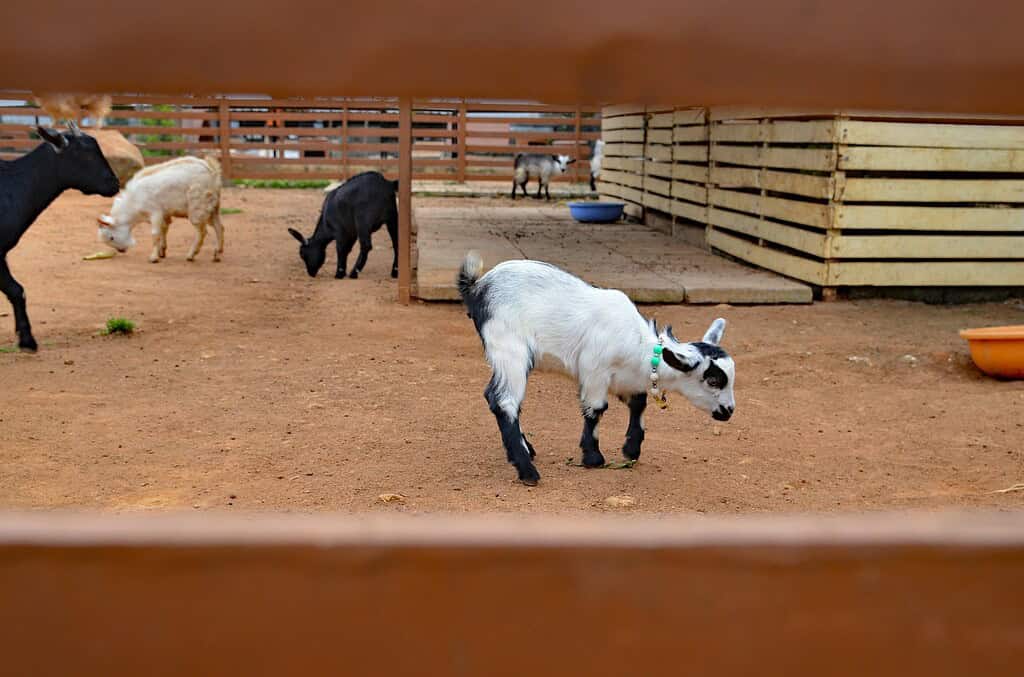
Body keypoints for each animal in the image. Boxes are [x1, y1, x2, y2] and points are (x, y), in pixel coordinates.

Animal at [458, 252, 736, 486]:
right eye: (712, 380)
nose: (729, 411)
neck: (638, 346)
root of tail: (477, 287)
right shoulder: (594, 371)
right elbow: (596, 409)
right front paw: (593, 457)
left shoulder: (624, 378)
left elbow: (639, 402)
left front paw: (631, 449)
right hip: (509, 348)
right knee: (504, 401)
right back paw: (527, 470)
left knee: (495, 397)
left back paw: (528, 450)